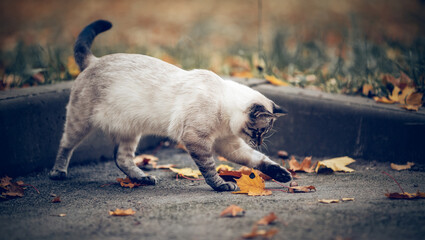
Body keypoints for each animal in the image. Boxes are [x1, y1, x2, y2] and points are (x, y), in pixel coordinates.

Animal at [48, 19, 290, 191]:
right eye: (258, 131)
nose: (259, 142)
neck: (225, 117)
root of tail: (95, 61)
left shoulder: (228, 144)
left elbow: (257, 160)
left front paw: (283, 175)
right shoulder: (197, 140)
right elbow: (210, 168)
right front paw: (222, 186)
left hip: (129, 130)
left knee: (121, 158)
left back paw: (144, 178)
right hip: (80, 123)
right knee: (65, 145)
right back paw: (58, 173)